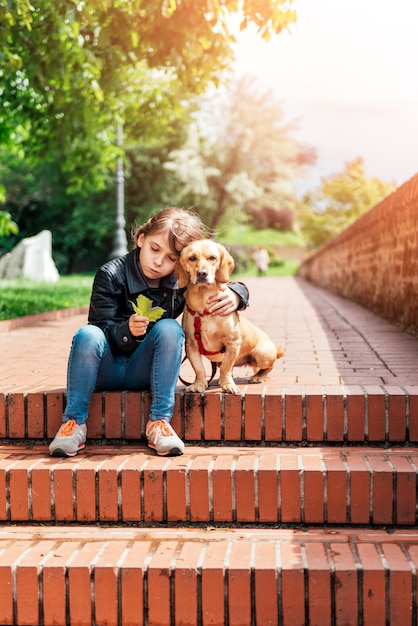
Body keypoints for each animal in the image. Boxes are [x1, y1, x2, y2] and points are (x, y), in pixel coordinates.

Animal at [175, 236, 282, 392]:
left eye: (212, 258)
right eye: (192, 258)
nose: (202, 273)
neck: (204, 306)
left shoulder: (232, 343)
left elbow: (226, 367)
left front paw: (227, 385)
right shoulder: (191, 346)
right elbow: (200, 369)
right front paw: (199, 384)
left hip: (262, 355)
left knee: (269, 367)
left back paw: (257, 377)